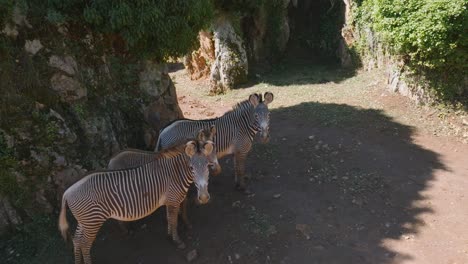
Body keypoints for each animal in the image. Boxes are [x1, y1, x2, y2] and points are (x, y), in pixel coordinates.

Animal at [57, 139, 216, 262]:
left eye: (208, 166)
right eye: (191, 168)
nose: (203, 198)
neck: (176, 173)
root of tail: (67, 192)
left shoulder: (170, 201)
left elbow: (169, 219)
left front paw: (169, 235)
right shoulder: (174, 200)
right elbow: (174, 221)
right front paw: (177, 241)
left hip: (84, 221)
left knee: (77, 240)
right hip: (92, 221)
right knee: (84, 244)